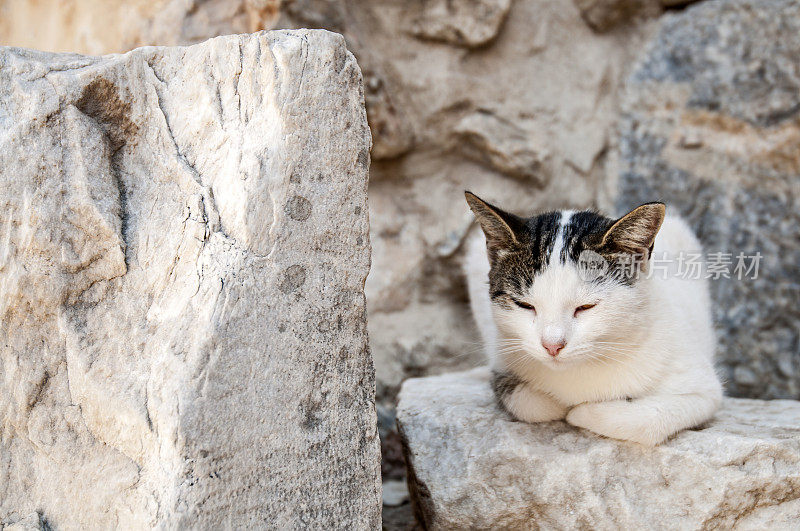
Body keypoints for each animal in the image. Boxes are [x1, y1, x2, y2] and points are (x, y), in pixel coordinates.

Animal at [460, 191, 720, 444]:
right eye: (524, 305)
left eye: (585, 307)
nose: (552, 345)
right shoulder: (503, 359)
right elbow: (527, 403)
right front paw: (559, 406)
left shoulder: (701, 389)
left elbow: (649, 420)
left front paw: (580, 413)